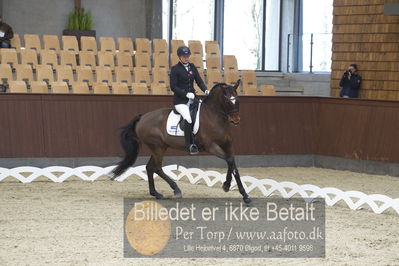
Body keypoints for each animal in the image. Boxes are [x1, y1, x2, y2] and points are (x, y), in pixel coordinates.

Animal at [111, 79, 252, 204]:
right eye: (227, 100)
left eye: (237, 99)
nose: (235, 120)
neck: (215, 117)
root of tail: (142, 117)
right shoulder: (211, 146)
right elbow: (230, 161)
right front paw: (234, 189)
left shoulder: (228, 145)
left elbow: (232, 164)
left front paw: (236, 190)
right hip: (158, 147)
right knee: (156, 167)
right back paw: (175, 189)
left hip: (160, 147)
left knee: (150, 167)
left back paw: (156, 193)